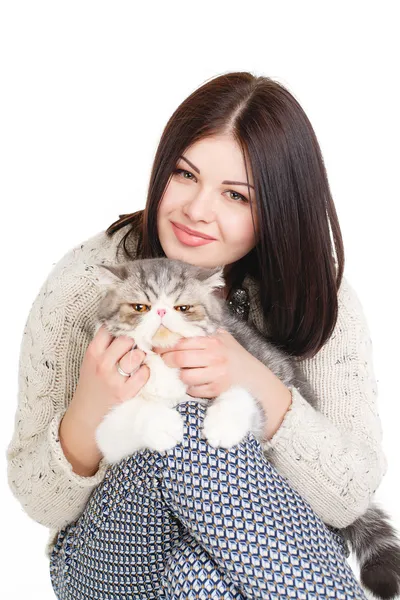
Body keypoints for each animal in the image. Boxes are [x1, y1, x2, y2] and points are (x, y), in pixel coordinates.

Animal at [91, 258, 400, 600]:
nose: (160, 313)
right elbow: (137, 412)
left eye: (183, 307)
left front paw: (221, 426)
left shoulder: (252, 383)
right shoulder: (106, 427)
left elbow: (240, 394)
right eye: (140, 307)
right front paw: (165, 425)